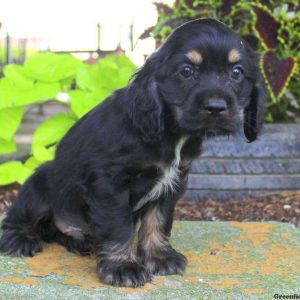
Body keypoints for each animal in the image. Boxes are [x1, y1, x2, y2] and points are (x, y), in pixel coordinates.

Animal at [0, 18, 264, 286]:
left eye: (237, 72)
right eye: (187, 71)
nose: (216, 108)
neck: (170, 132)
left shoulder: (173, 180)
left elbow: (157, 220)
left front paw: (159, 257)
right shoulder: (110, 183)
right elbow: (119, 226)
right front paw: (123, 267)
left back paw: (82, 242)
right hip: (39, 184)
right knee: (16, 219)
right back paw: (21, 240)